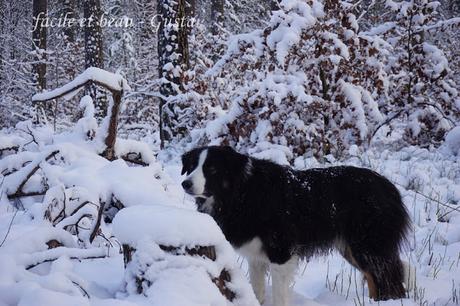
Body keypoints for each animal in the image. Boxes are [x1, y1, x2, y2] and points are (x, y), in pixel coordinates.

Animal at [180, 147, 410, 304]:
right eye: (191, 167)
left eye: (212, 169)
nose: (185, 183)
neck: (242, 194)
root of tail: (391, 189)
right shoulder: (256, 257)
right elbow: (257, 290)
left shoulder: (281, 252)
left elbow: (279, 295)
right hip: (351, 248)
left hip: (367, 245)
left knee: (388, 281)